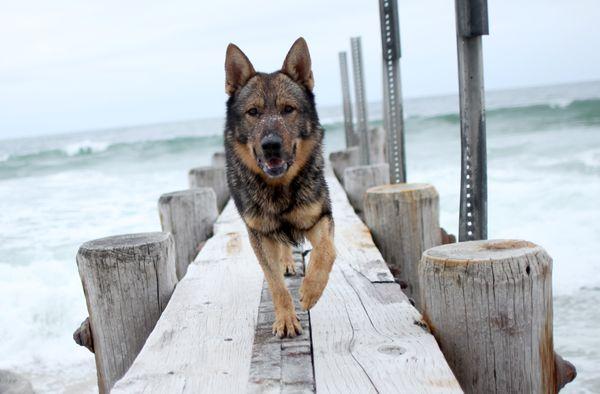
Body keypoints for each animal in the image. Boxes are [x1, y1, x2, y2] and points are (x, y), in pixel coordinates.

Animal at [225, 38, 338, 338]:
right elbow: (274, 282)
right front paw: (286, 319)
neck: (279, 188)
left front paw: (311, 291)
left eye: (288, 109)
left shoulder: (320, 216)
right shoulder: (259, 234)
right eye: (253, 112)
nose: (271, 145)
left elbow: (327, 251)